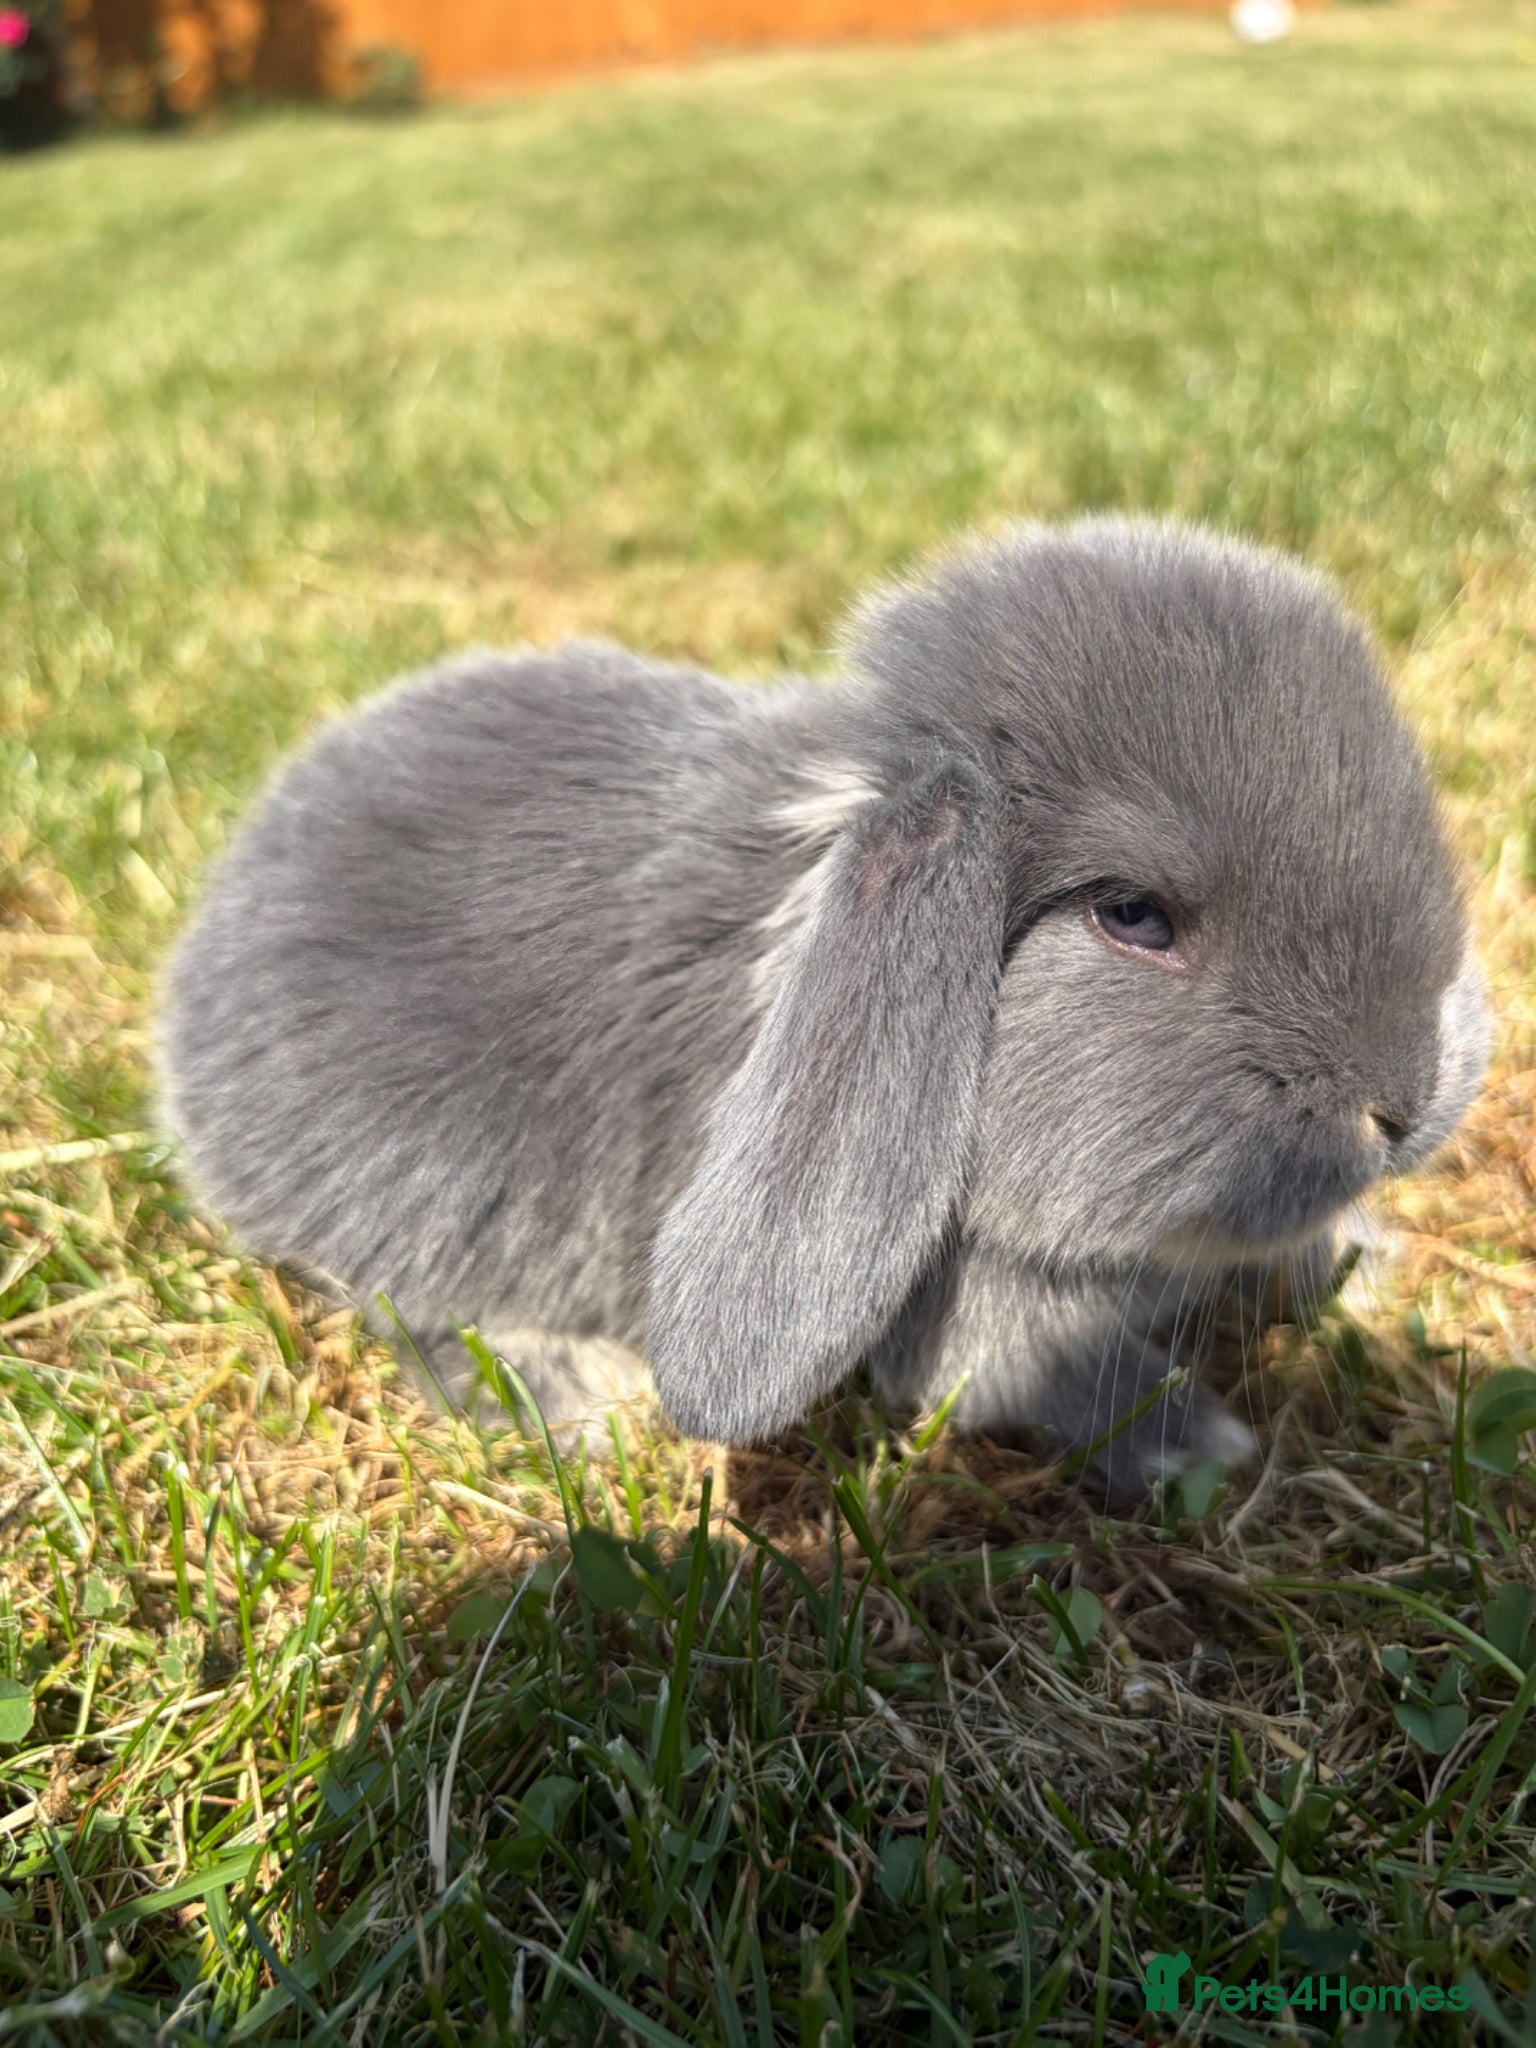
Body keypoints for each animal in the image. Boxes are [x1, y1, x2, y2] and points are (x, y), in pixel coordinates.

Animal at [159, 518, 1488, 1490]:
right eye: (1132, 915)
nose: (1404, 1099)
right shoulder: (980, 1318)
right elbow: (1079, 1379)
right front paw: (1207, 1447)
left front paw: (1355, 1263)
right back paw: (587, 1401)